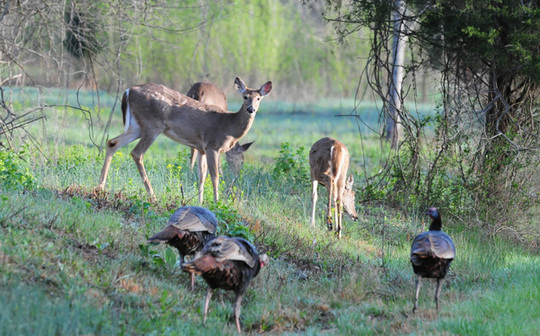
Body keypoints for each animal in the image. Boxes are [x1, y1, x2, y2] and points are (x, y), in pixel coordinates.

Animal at [97, 76, 272, 203]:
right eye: (245, 96)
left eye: (259, 98)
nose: (251, 109)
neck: (229, 126)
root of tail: (128, 91)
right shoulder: (212, 145)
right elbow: (214, 177)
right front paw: (217, 203)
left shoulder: (202, 148)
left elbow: (202, 176)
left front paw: (200, 202)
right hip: (152, 125)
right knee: (137, 153)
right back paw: (152, 195)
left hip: (137, 127)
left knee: (112, 142)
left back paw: (100, 187)